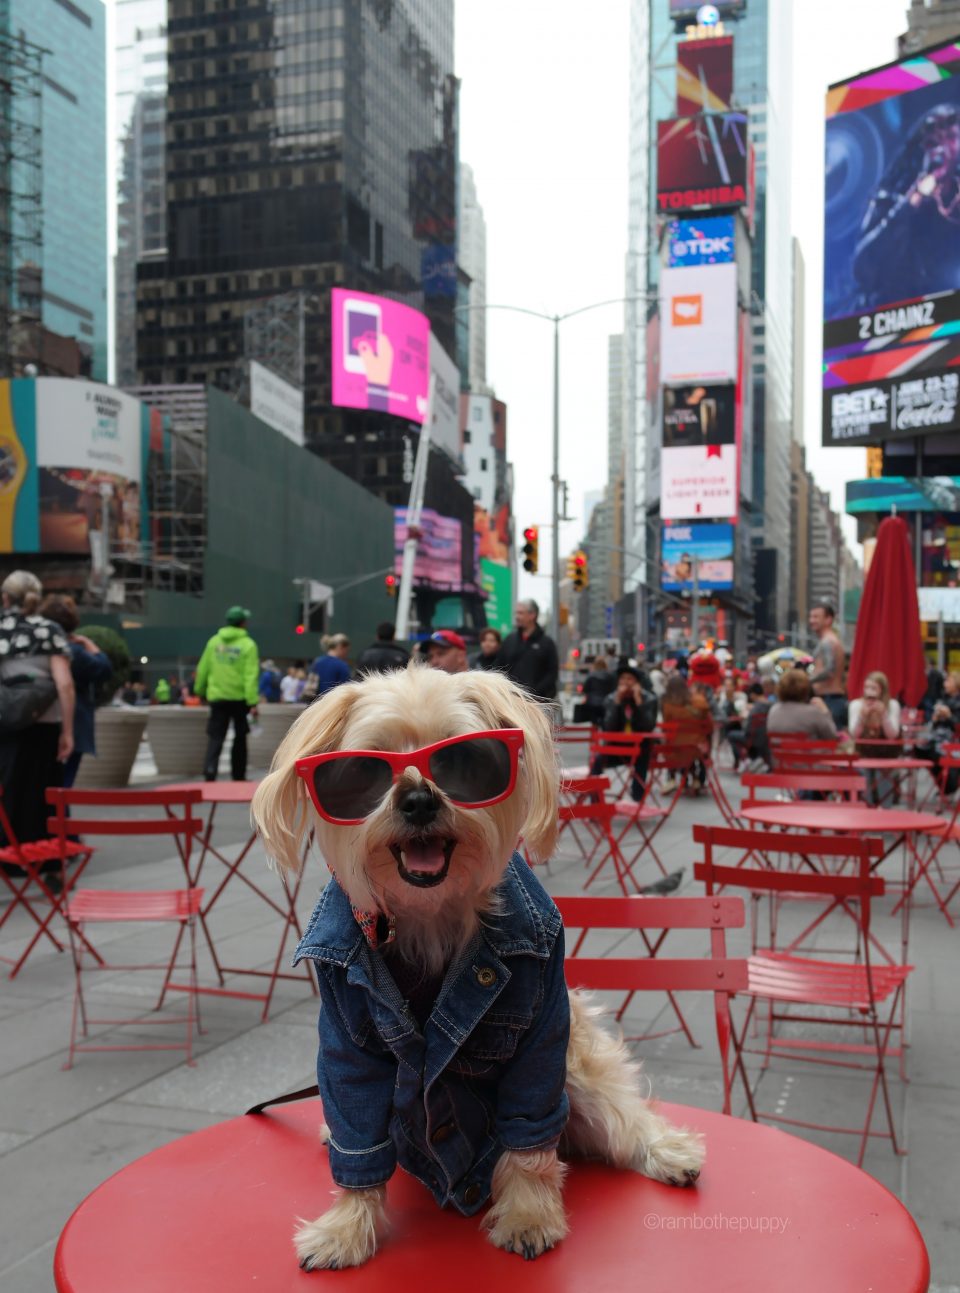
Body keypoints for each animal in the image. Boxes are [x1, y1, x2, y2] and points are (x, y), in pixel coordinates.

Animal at [253, 667, 709, 1272]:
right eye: (363, 770)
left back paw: (668, 1150)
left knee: (622, 1117)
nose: (419, 799)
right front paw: (345, 1229)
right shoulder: (347, 1046)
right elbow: (358, 1141)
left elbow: (530, 1138)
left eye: (465, 761)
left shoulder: (541, 1035)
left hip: (580, 1073)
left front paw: (528, 1215)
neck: (429, 914)